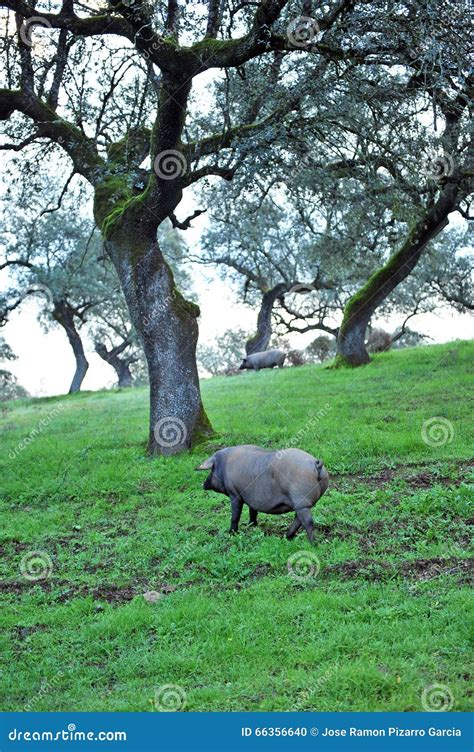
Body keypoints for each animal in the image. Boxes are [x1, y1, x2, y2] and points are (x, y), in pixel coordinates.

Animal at [194, 444, 328, 544]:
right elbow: (253, 511)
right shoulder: (251, 498)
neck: (224, 464)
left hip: (301, 501)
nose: (203, 484)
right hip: (304, 503)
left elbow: (235, 516)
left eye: (212, 469)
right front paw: (251, 526)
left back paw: (313, 544)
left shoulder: (235, 494)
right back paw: (286, 537)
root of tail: (315, 463)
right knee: (299, 519)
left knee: (308, 522)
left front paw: (231, 533)